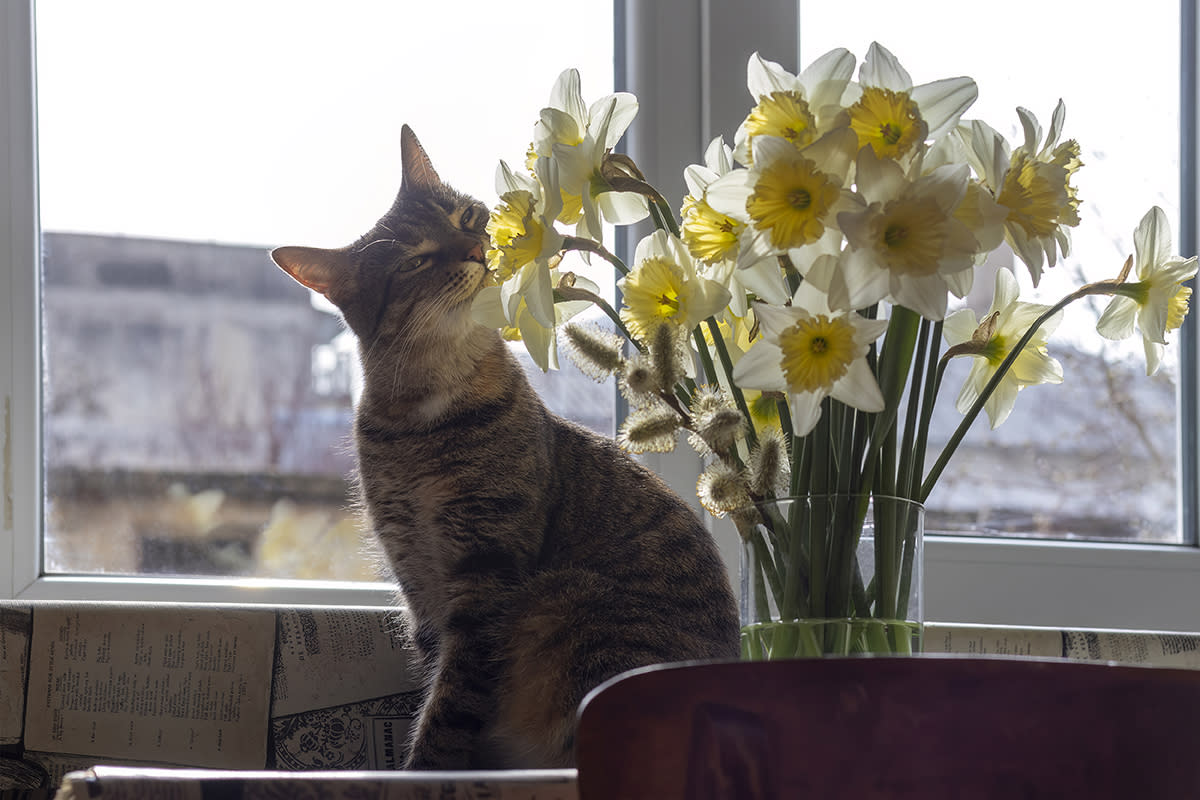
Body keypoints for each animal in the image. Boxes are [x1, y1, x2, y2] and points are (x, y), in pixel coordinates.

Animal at [272, 125, 739, 767]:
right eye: (415, 260)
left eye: (469, 218)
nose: (475, 249)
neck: (425, 417)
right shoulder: (418, 579)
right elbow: (442, 692)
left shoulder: (486, 574)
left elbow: (450, 707)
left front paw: (422, 769)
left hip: (572, 607)